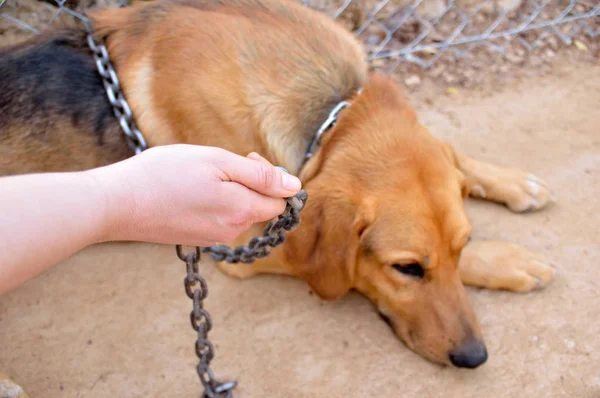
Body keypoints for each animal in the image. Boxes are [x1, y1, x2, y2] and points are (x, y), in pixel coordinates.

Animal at [0, 0, 556, 368]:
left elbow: (455, 156)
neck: (332, 117)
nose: (473, 357)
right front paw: (511, 260)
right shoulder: (245, 241)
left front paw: (509, 184)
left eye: (460, 246)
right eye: (407, 269)